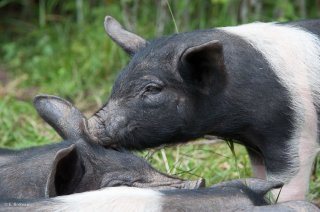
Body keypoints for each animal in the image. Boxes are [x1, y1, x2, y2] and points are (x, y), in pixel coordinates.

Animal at [84, 15, 320, 201]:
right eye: (117, 82)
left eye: (152, 89)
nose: (89, 125)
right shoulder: (255, 145)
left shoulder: (294, 133)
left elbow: (288, 186)